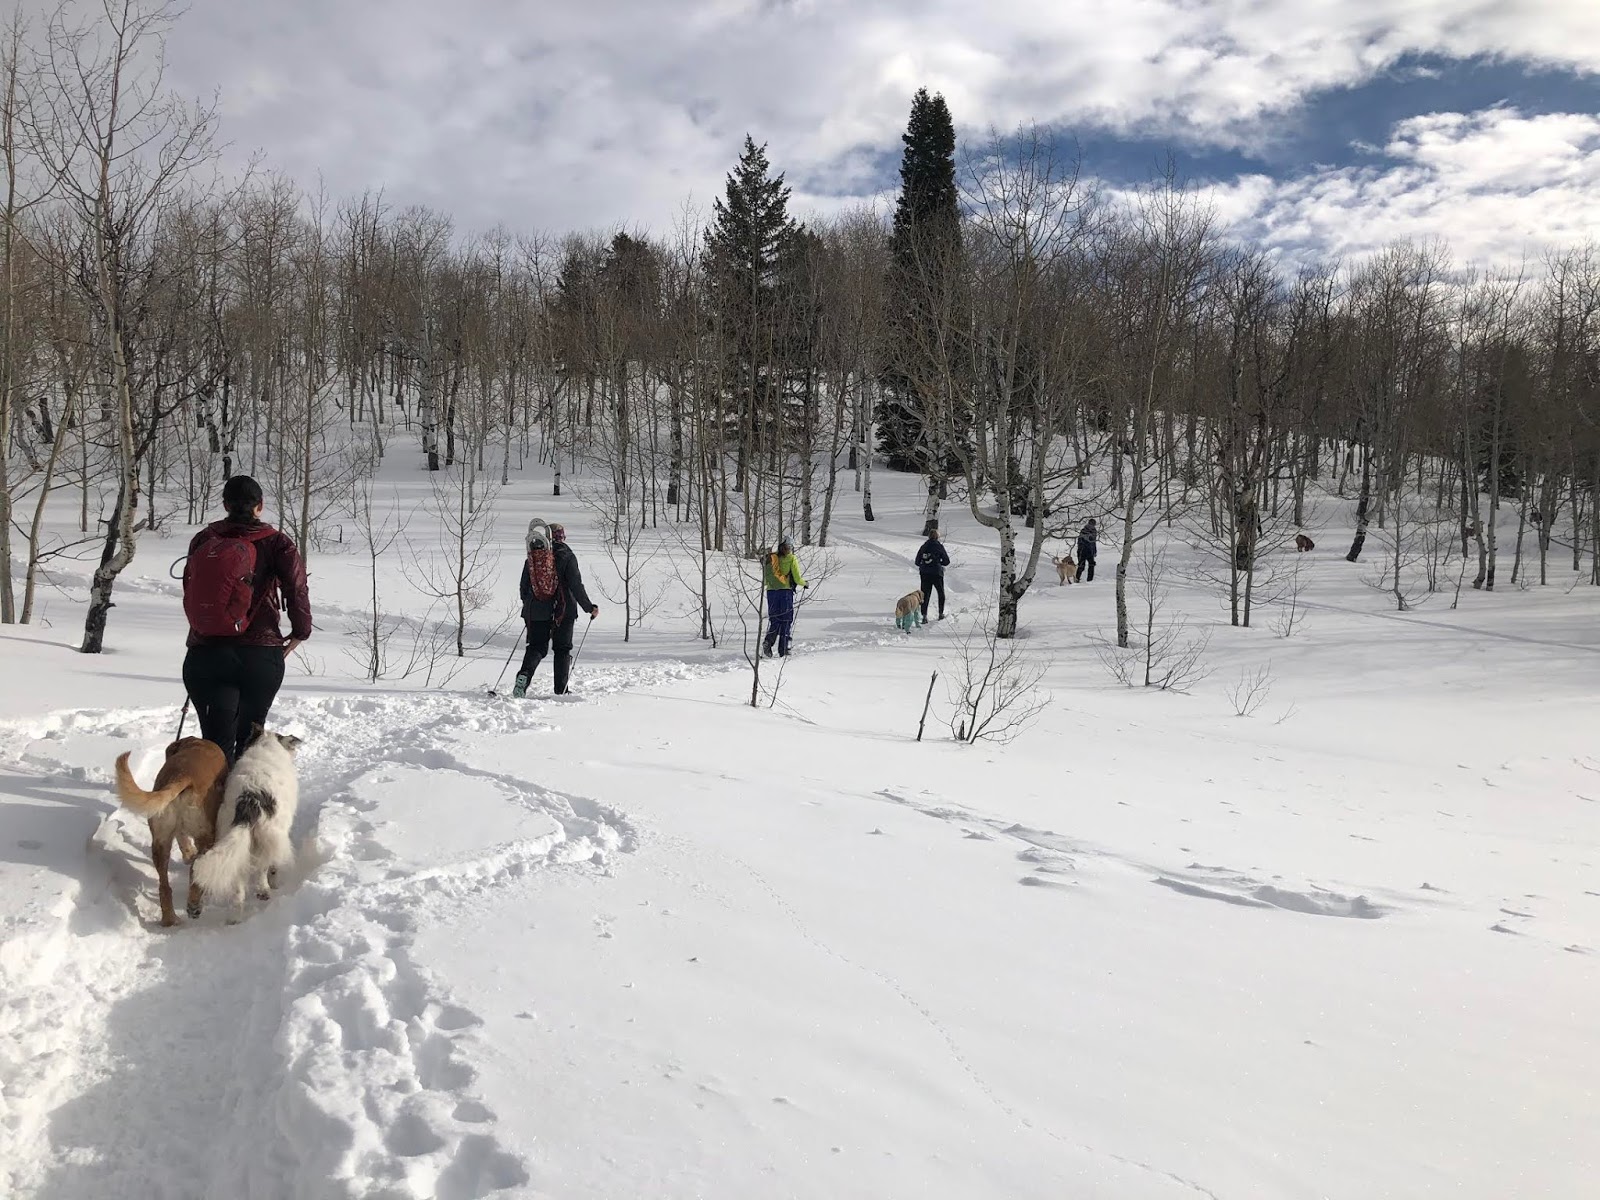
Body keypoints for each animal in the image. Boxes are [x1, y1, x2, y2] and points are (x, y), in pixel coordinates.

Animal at [112, 742, 230, 928]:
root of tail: (183, 776)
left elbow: (183, 842)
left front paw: (188, 854)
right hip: (205, 836)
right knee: (195, 871)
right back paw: (194, 905)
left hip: (160, 840)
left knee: (164, 886)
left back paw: (169, 919)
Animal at [194, 723, 302, 921]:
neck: (266, 746)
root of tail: (250, 799)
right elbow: (272, 866)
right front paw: (274, 882)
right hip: (268, 835)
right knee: (262, 868)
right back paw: (263, 891)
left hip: (232, 835)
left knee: (238, 885)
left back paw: (235, 918)